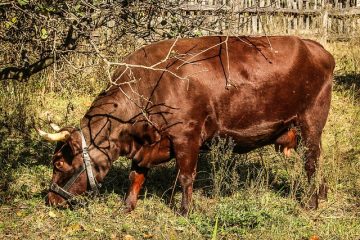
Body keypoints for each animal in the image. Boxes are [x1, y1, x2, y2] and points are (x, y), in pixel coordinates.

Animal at [38, 36, 334, 216]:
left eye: (59, 163)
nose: (50, 199)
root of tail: (314, 46)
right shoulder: (145, 144)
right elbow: (136, 176)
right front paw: (127, 206)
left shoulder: (187, 136)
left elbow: (185, 176)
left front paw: (184, 210)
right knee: (317, 163)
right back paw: (321, 194)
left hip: (311, 121)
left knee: (311, 163)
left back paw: (311, 202)